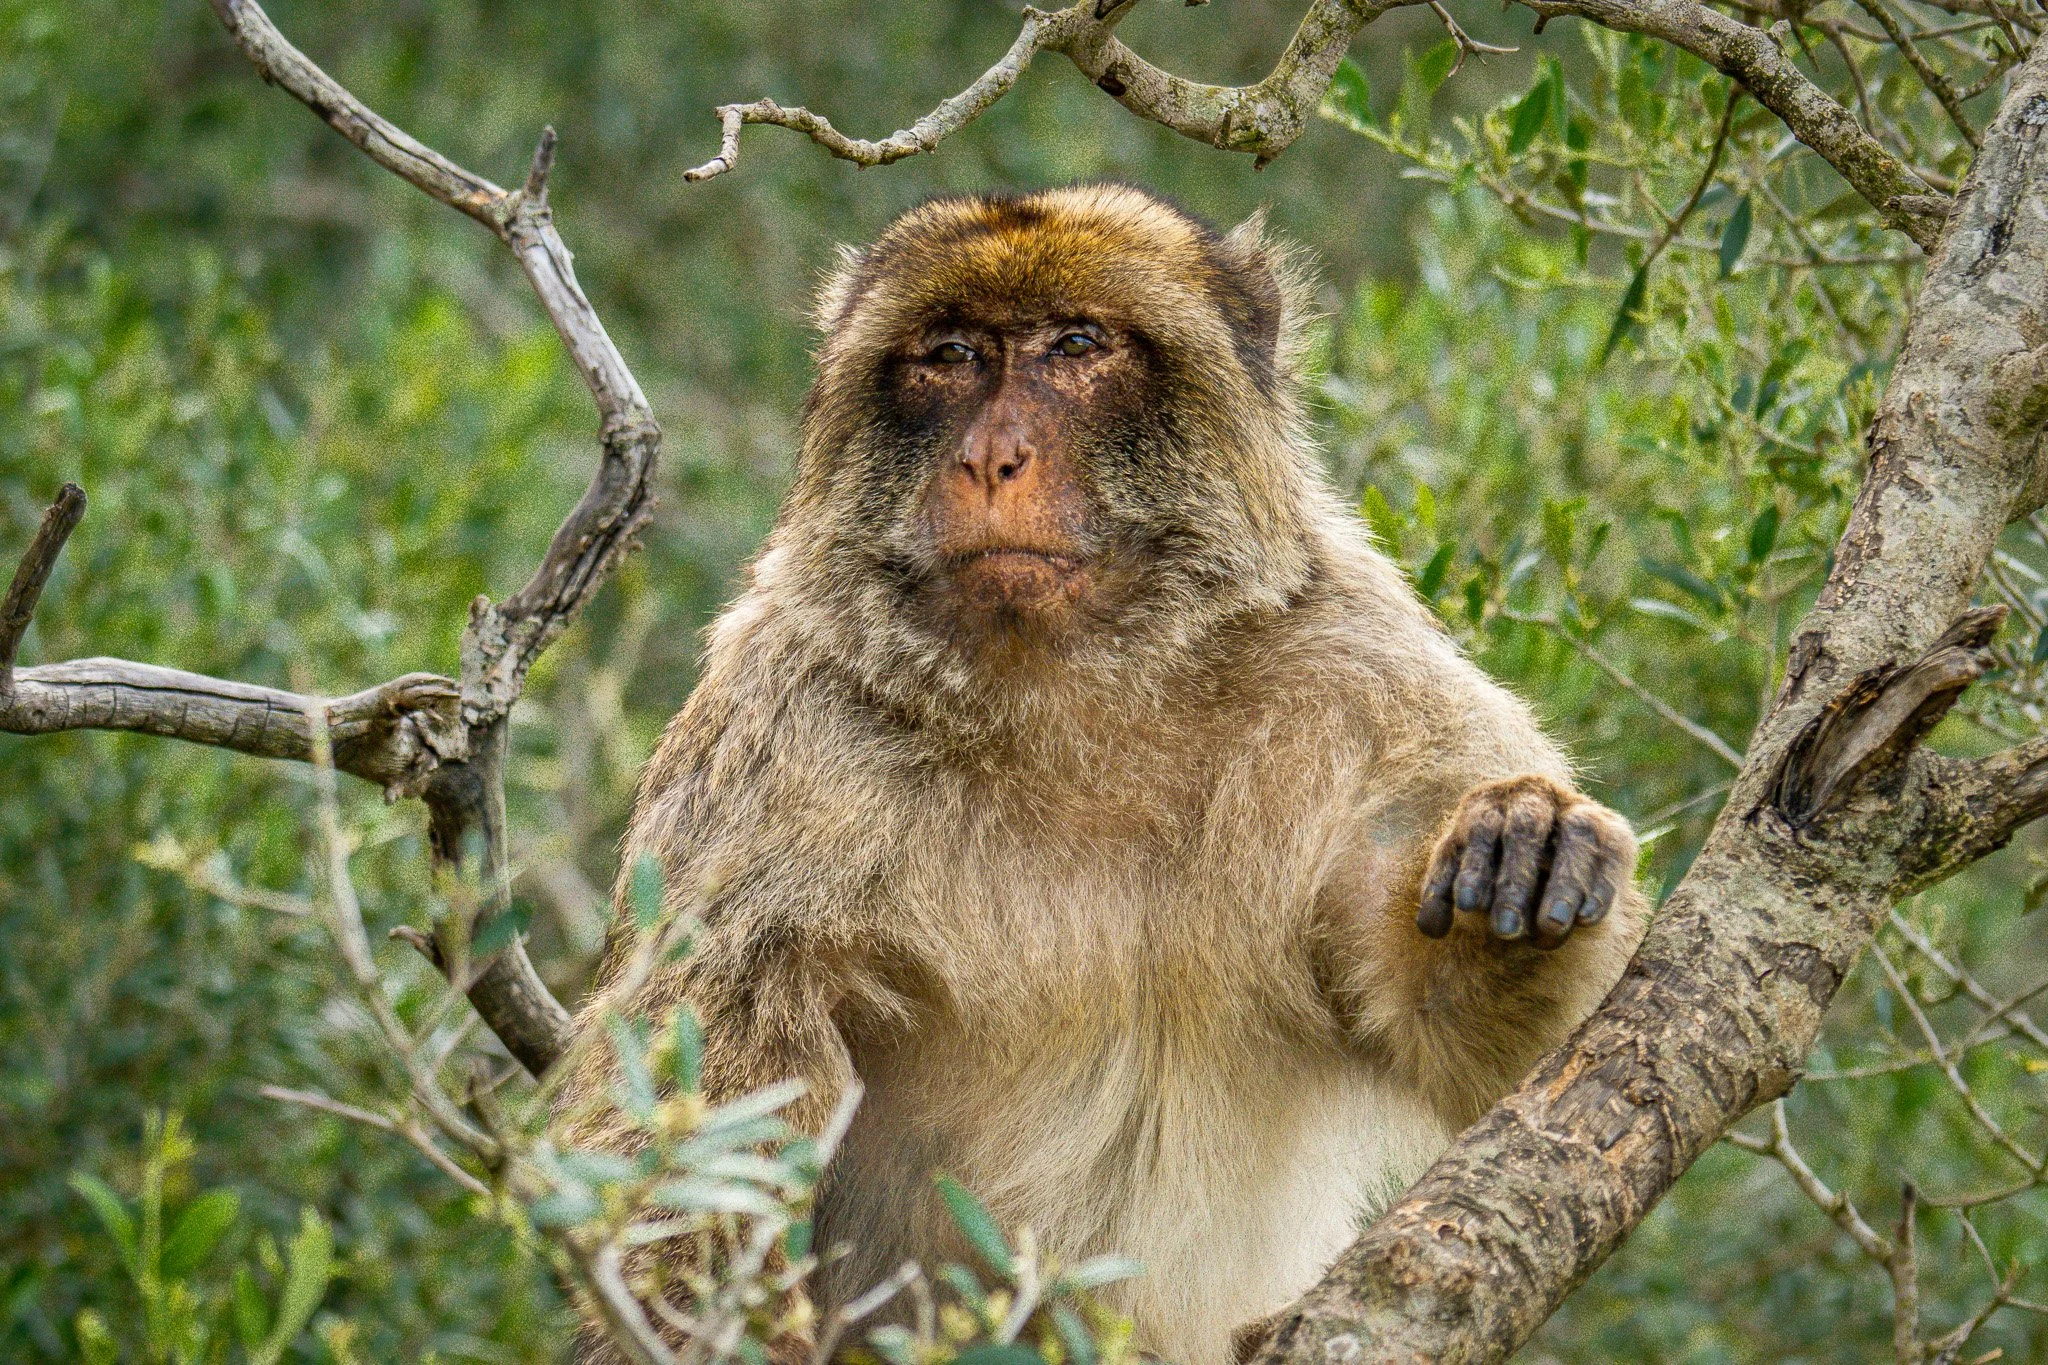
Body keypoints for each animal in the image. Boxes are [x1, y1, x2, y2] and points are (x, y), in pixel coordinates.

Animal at [555, 183, 1648, 1365]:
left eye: (1076, 346)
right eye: (948, 355)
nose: (992, 458)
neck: (1075, 693)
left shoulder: (1358, 673)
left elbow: (1523, 1080)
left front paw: (1523, 861)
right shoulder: (774, 729)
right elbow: (695, 1123)